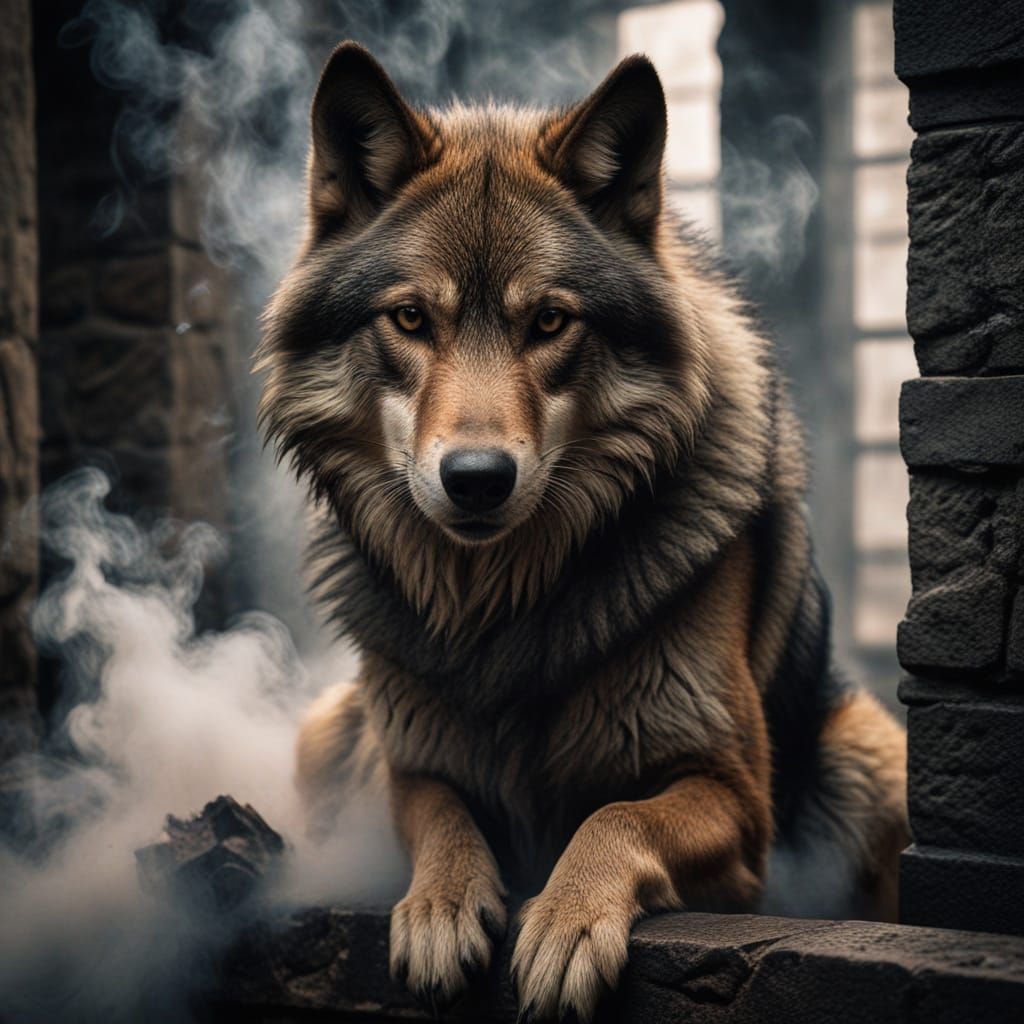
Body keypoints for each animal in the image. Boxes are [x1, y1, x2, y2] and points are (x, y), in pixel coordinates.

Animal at [257, 42, 909, 1021]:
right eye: (410, 318)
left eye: (550, 321)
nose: (477, 479)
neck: (499, 609)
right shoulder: (399, 762)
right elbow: (438, 812)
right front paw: (442, 905)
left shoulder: (734, 800)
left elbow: (616, 816)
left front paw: (565, 923)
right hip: (323, 727)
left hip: (870, 753)